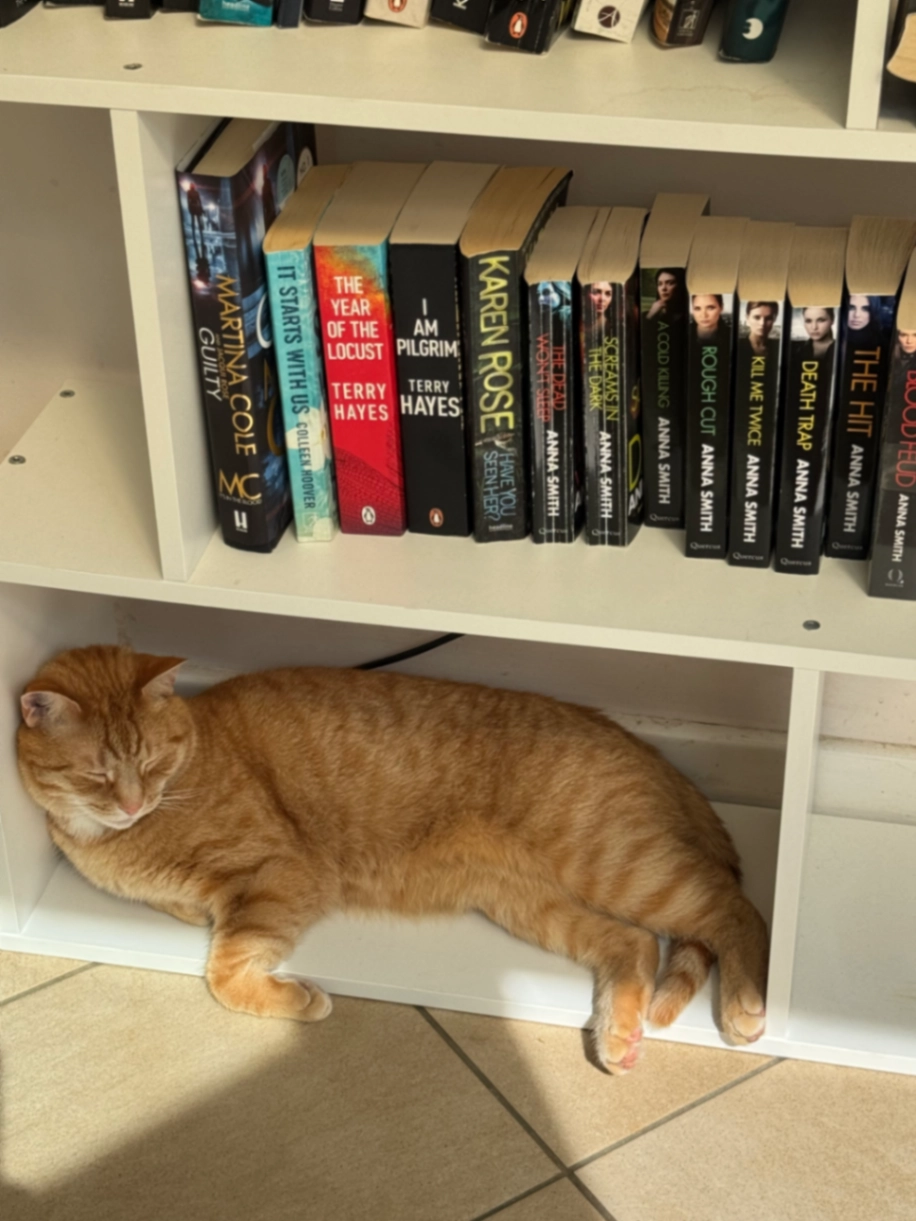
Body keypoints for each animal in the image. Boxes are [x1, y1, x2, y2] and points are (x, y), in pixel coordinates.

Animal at [17, 645, 769, 1074]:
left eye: (148, 762)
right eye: (96, 774)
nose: (131, 803)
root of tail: (647, 746)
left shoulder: (279, 875)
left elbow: (224, 971)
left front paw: (299, 1000)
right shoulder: (196, 899)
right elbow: (208, 931)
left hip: (616, 863)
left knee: (738, 910)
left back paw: (745, 1005)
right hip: (532, 903)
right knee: (635, 944)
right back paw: (618, 1037)